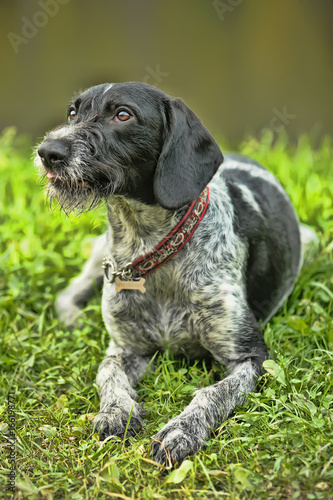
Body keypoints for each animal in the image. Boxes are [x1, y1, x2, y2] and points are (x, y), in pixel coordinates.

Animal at [36, 80, 304, 466]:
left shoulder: (250, 357)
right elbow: (107, 372)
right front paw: (116, 411)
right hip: (101, 255)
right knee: (70, 290)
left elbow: (212, 393)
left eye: (123, 115)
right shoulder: (126, 347)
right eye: (73, 113)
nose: (48, 151)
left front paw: (181, 430)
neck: (151, 249)